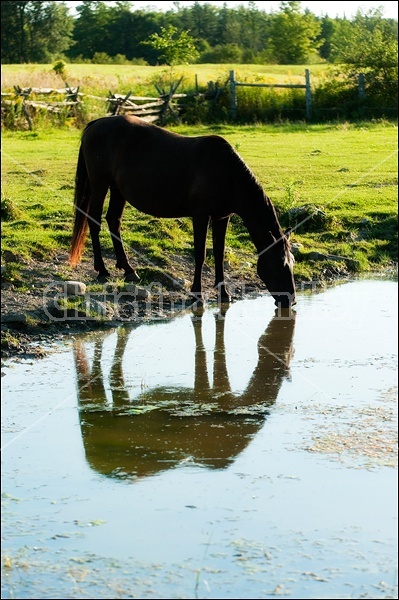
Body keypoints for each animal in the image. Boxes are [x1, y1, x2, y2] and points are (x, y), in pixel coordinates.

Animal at [69, 115, 296, 308]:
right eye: (281, 264)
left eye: (292, 262)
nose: (291, 300)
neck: (226, 172)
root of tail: (95, 124)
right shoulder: (200, 215)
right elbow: (200, 255)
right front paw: (197, 294)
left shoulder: (222, 217)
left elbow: (219, 254)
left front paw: (224, 294)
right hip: (100, 185)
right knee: (94, 222)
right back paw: (102, 270)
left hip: (117, 190)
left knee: (113, 221)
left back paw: (128, 269)